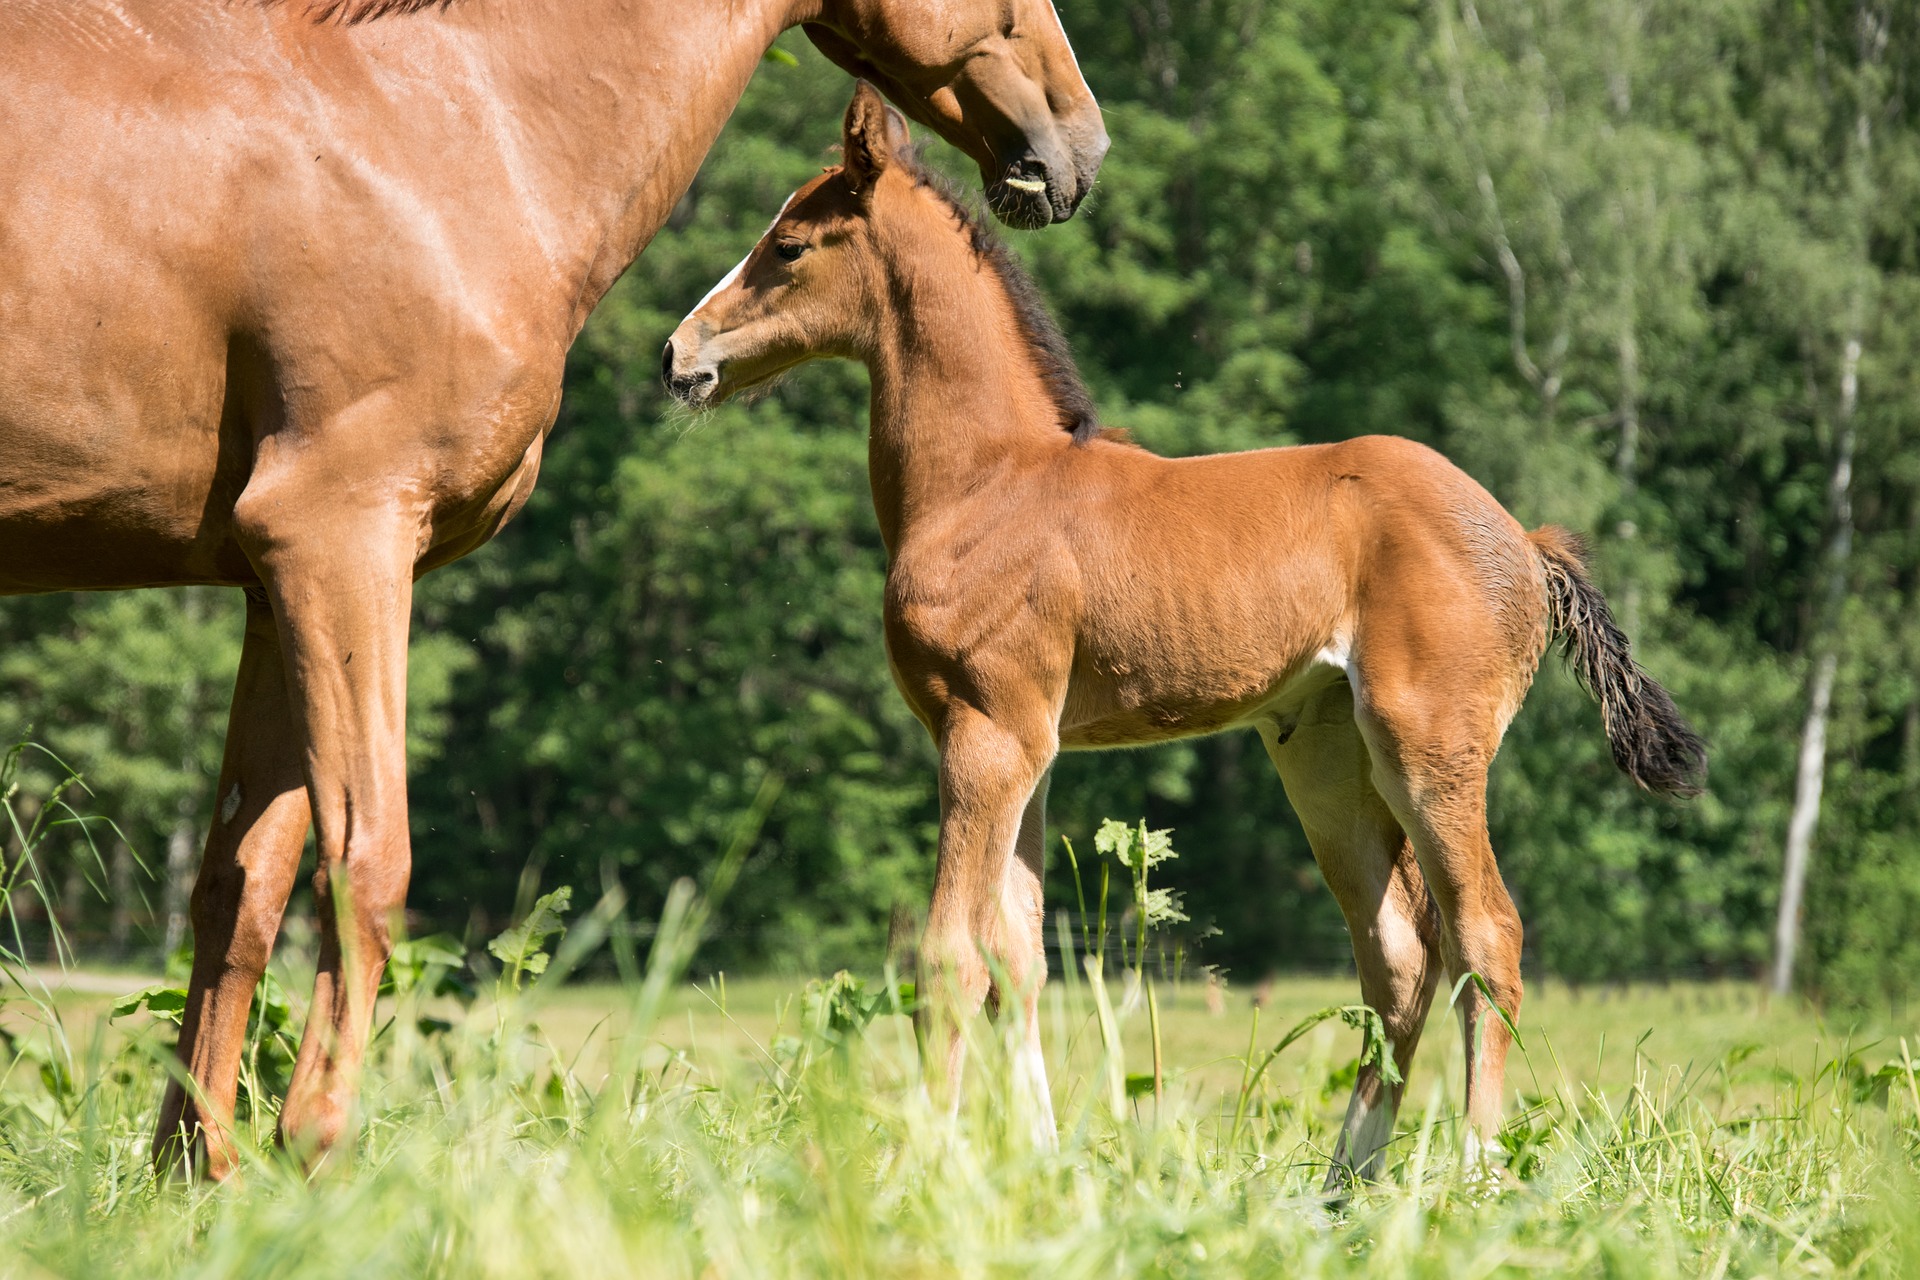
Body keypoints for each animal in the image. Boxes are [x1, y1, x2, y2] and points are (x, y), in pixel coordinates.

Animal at [0, 0, 1105, 1182]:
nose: (1080, 150)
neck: (444, 127)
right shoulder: (339, 538)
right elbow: (367, 860)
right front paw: (314, 1148)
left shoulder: (269, 581)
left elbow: (239, 886)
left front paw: (196, 1176)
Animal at [664, 87, 1712, 1189]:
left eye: (788, 244)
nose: (677, 356)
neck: (989, 481)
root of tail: (1525, 541)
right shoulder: (1031, 745)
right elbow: (1017, 955)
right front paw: (1041, 1165)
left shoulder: (985, 734)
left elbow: (948, 955)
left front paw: (927, 1164)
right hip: (1327, 760)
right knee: (1398, 952)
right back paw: (1342, 1186)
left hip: (1429, 747)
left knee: (1486, 937)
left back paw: (1470, 1172)